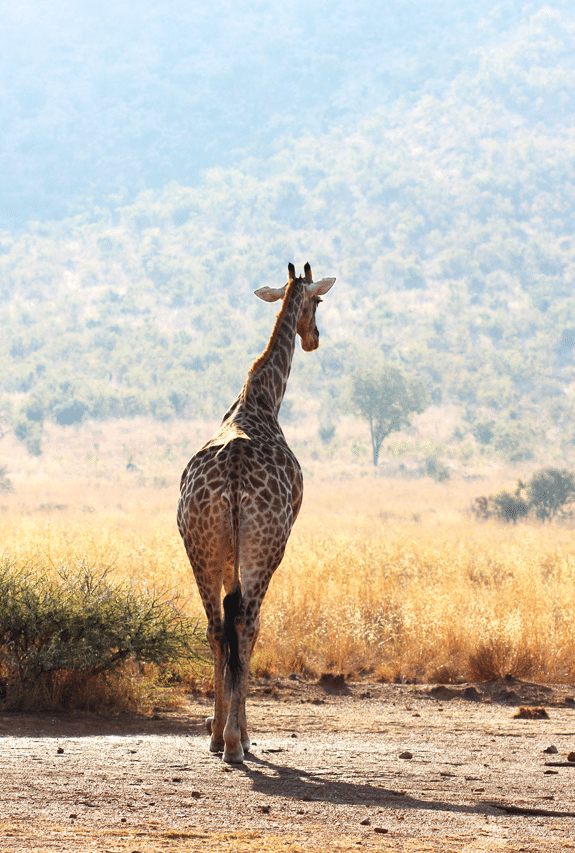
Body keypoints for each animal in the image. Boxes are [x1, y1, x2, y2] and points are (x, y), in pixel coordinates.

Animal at [178, 260, 336, 760]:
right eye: (317, 300)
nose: (314, 338)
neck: (261, 398)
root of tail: (232, 479)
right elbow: (251, 625)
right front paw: (243, 733)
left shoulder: (228, 554)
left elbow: (223, 628)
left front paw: (218, 725)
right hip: (267, 546)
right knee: (248, 623)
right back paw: (235, 742)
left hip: (201, 545)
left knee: (215, 626)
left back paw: (216, 735)